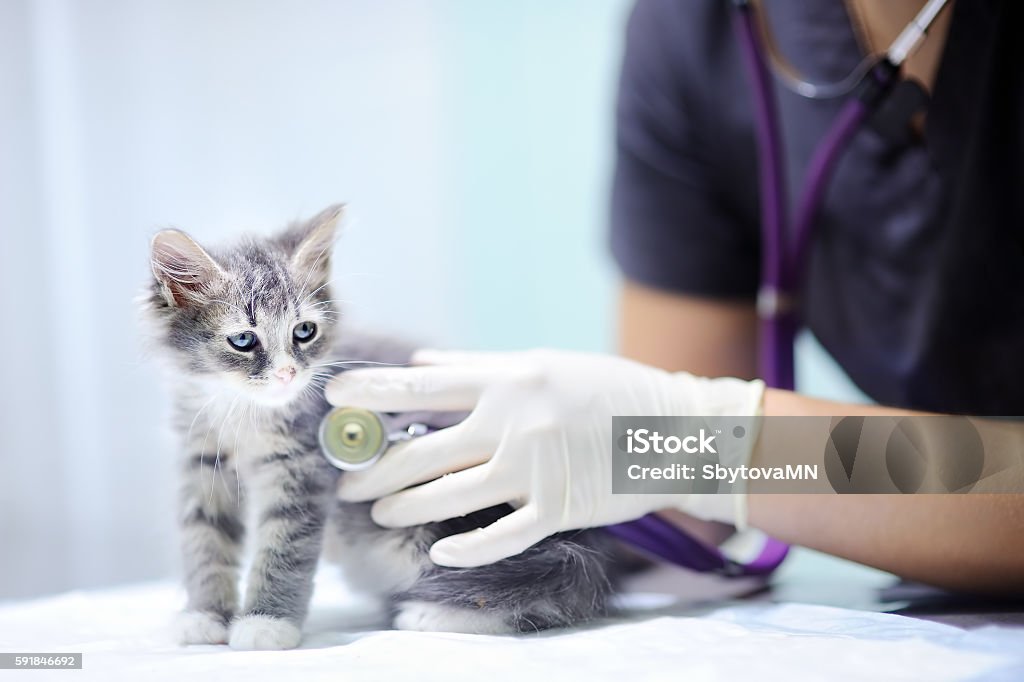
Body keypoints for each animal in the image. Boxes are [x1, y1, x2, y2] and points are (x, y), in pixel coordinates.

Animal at [140, 204, 618, 651]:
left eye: (304, 331)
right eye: (243, 340)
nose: (288, 374)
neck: (242, 411)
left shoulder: (303, 468)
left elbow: (284, 548)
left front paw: (266, 623)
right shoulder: (202, 462)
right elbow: (205, 540)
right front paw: (204, 616)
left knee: (551, 594)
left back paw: (432, 614)